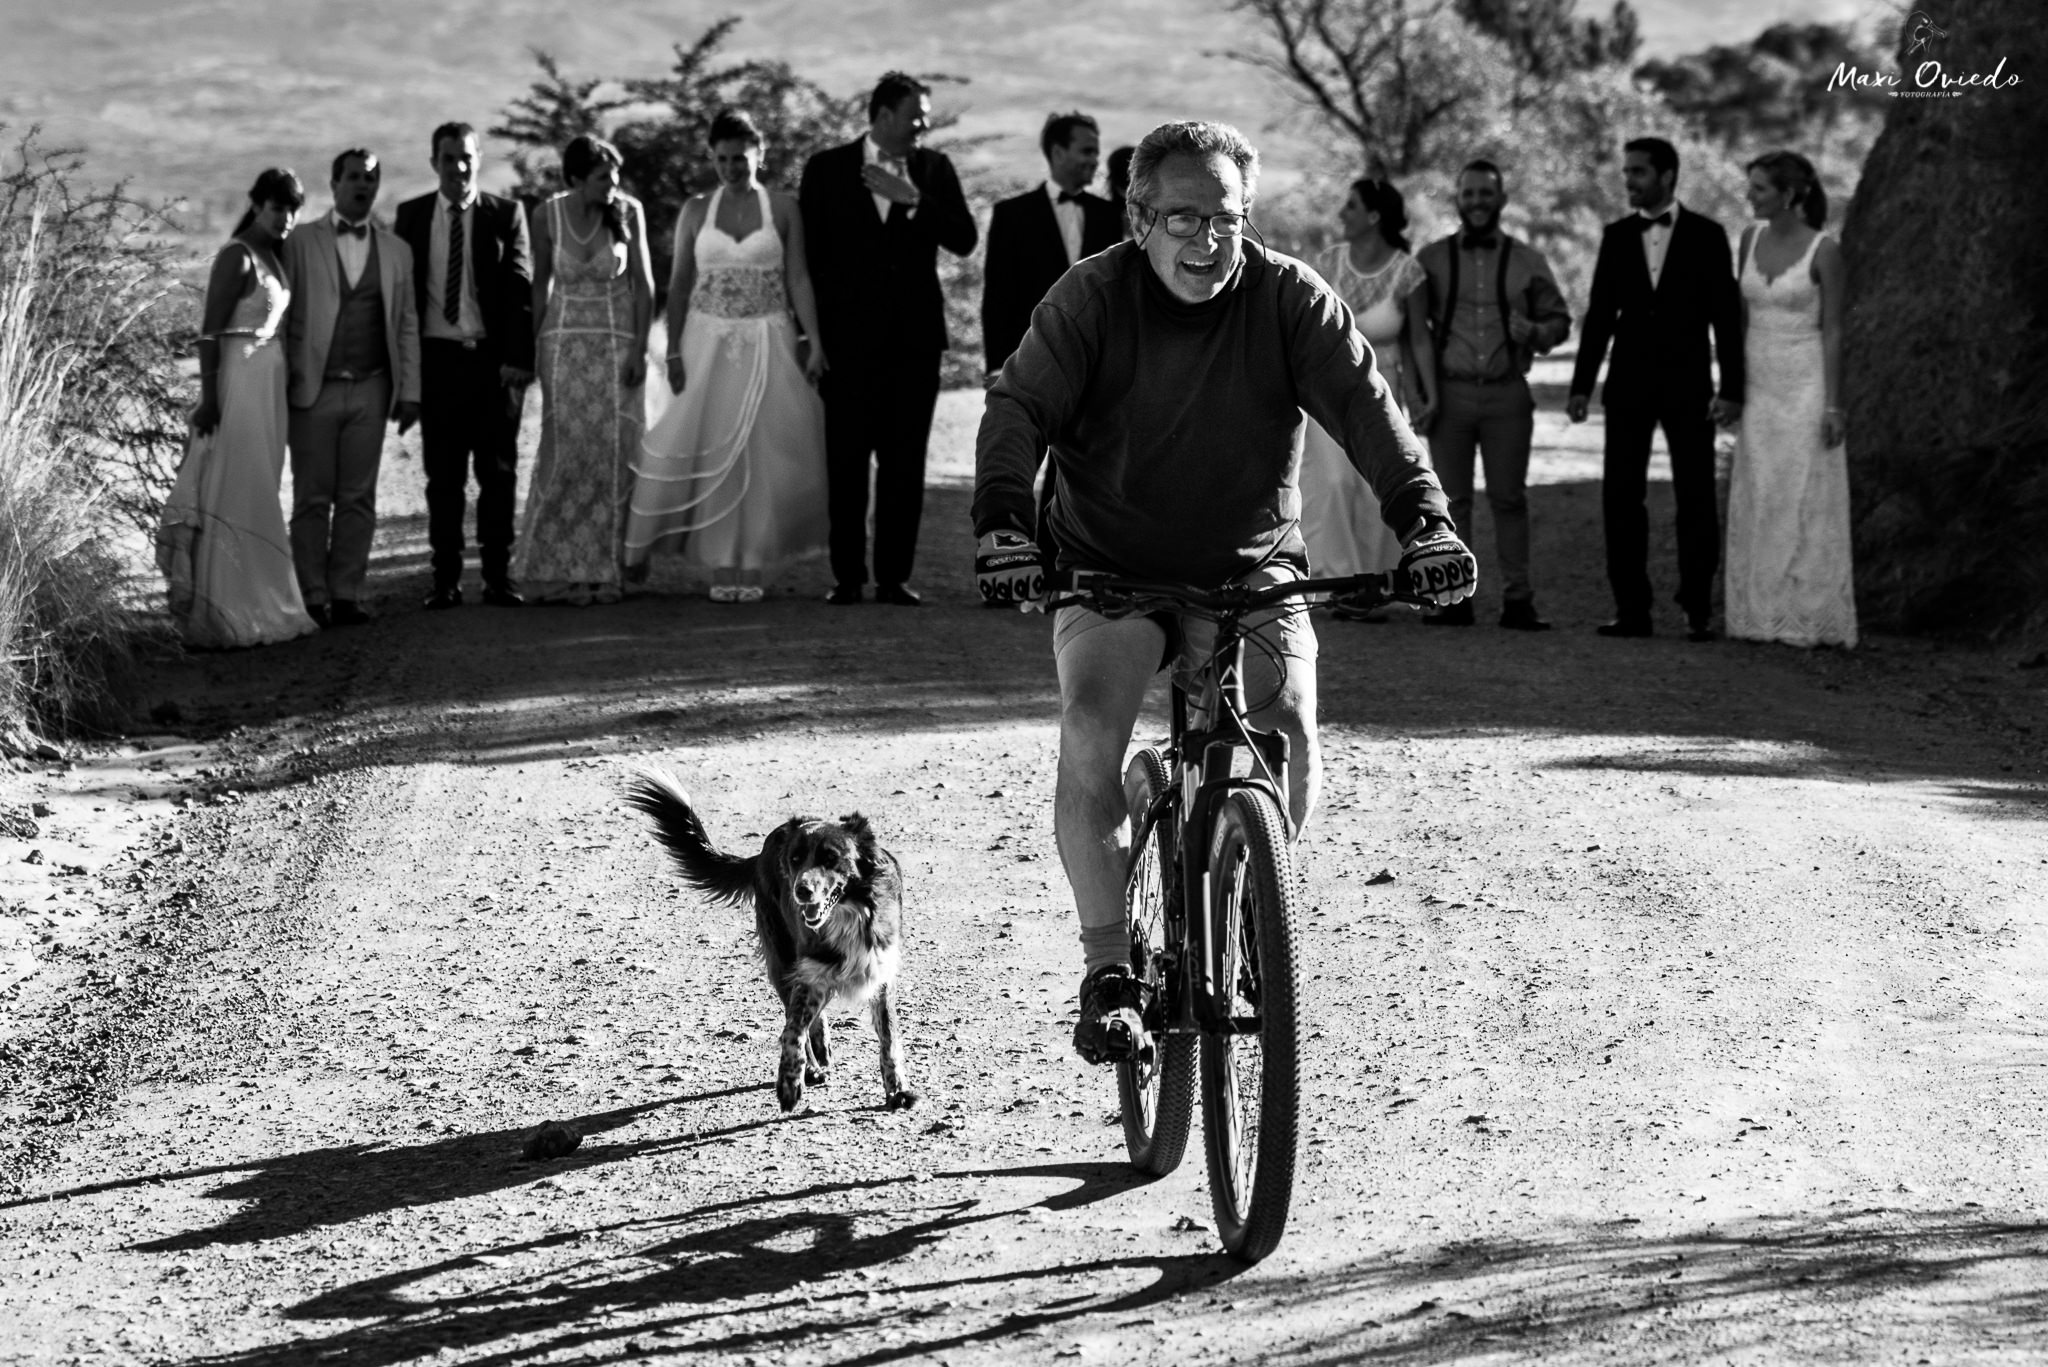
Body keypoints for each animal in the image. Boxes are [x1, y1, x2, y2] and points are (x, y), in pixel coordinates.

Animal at [618, 770, 917, 1114]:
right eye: (795, 860)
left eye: (831, 858)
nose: (801, 890)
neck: (849, 912)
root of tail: (762, 850)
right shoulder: (806, 971)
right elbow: (792, 1032)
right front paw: (790, 1081)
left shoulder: (880, 971)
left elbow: (889, 1037)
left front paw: (897, 1090)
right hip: (784, 959)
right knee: (797, 1015)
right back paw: (813, 1065)